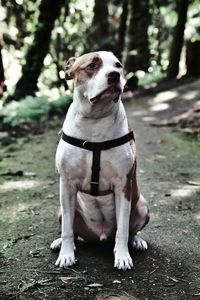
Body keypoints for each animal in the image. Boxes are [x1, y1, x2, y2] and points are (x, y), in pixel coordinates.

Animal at [50, 50, 149, 270]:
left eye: (118, 65)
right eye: (92, 65)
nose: (114, 75)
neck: (94, 121)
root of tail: (99, 236)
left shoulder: (123, 186)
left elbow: (122, 229)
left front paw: (122, 256)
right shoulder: (66, 185)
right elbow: (67, 228)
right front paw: (66, 254)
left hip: (142, 207)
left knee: (130, 231)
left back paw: (136, 241)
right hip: (61, 209)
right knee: (73, 231)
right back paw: (61, 243)